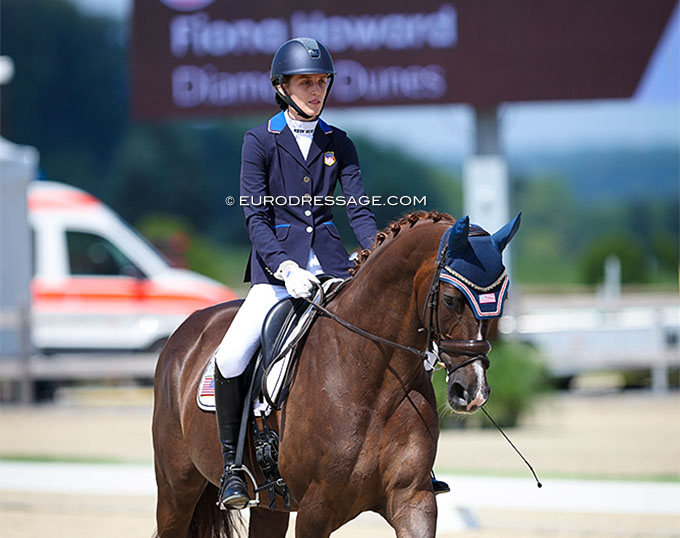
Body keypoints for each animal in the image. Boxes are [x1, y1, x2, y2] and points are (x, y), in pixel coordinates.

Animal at [151, 207, 516, 532]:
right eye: (452, 298)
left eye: (502, 300)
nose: (472, 392)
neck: (376, 379)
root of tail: (190, 326)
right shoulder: (316, 509)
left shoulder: (413, 499)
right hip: (175, 492)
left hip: (271, 506)